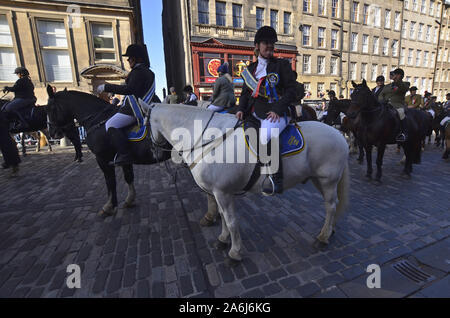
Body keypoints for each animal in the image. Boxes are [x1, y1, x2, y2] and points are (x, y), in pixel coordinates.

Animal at [45, 85, 171, 217]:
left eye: (49, 108)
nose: (52, 133)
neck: (97, 119)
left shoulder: (102, 159)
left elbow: (110, 181)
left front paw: (109, 206)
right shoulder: (124, 159)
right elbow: (128, 177)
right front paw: (130, 199)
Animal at [139, 100, 350, 264]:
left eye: (143, 125)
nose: (153, 154)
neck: (207, 138)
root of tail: (339, 135)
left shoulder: (223, 192)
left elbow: (231, 221)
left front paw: (234, 252)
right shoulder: (217, 192)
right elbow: (223, 217)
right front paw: (223, 239)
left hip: (328, 180)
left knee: (331, 206)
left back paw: (322, 237)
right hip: (318, 180)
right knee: (333, 204)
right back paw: (329, 230)